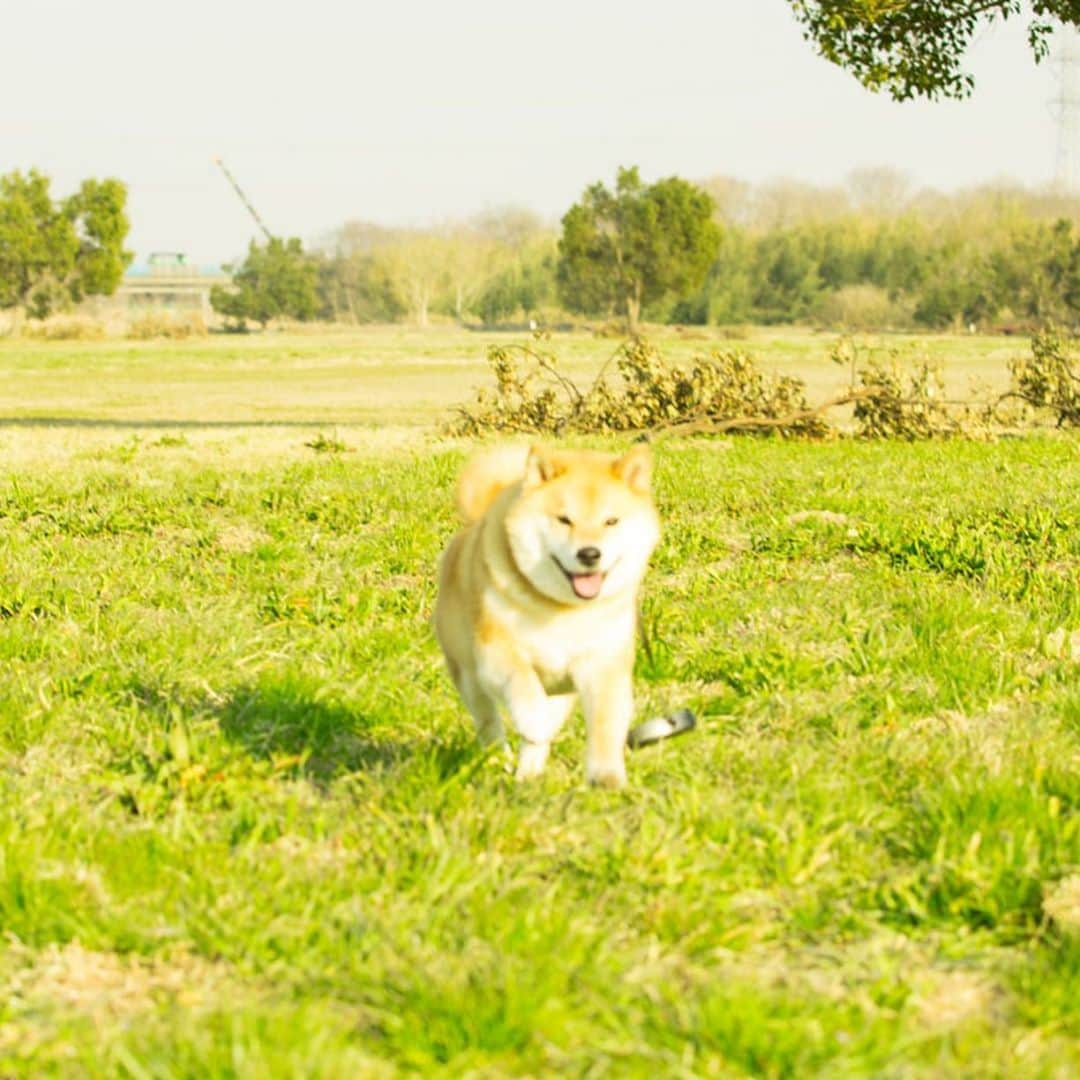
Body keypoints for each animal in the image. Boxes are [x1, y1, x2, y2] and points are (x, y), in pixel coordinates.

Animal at [432, 442, 656, 790]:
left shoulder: (602, 663)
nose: (589, 554)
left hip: (561, 690)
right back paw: (499, 758)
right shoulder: (496, 650)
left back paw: (529, 773)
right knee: (489, 724)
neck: (561, 608)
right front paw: (533, 722)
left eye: (611, 521)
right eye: (564, 520)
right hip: (468, 674)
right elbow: (522, 686)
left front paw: (606, 776)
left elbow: (606, 721)